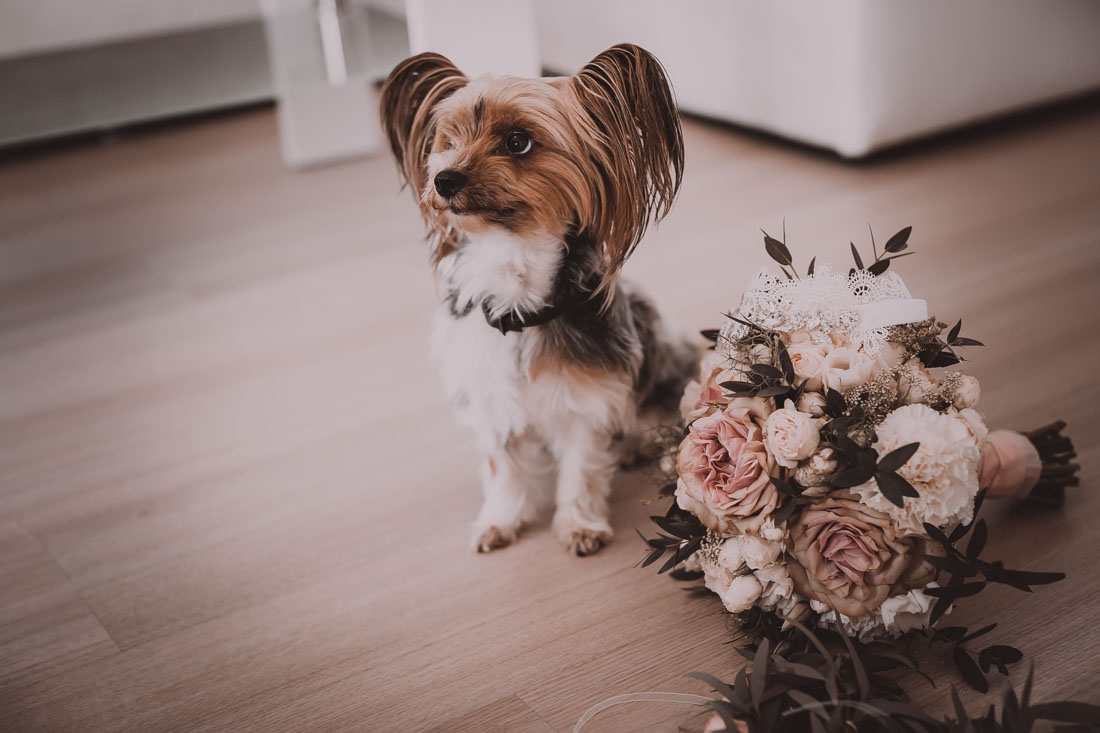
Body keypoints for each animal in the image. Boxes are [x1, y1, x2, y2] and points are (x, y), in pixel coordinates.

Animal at [382, 42, 695, 550]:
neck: (516, 299)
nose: (444, 179)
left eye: (518, 142)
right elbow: (503, 469)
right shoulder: (490, 397)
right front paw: (500, 520)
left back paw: (638, 444)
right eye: (447, 141)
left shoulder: (588, 401)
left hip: (667, 363)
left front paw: (580, 526)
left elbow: (581, 469)